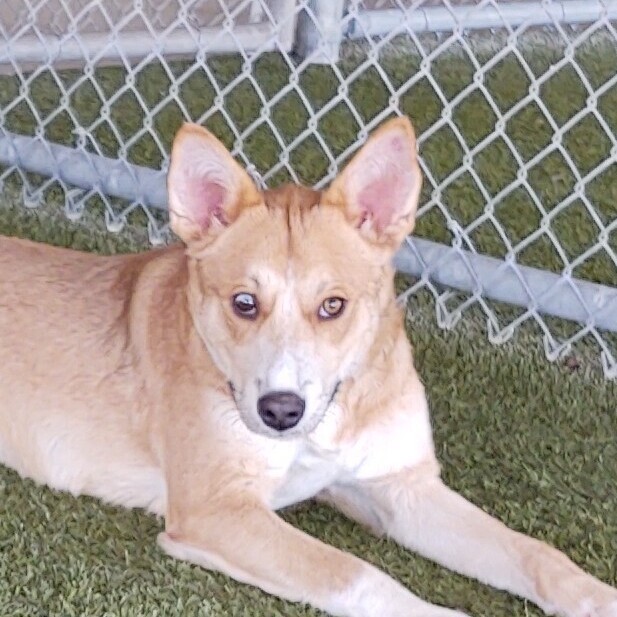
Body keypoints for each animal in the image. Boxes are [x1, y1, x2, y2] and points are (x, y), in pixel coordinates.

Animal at [0, 118, 612, 612]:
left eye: (333, 306)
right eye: (244, 302)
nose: (279, 411)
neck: (329, 421)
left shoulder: (403, 489)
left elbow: (537, 554)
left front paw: (598, 598)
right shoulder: (217, 510)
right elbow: (360, 576)